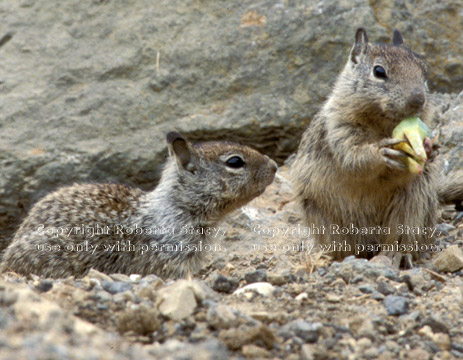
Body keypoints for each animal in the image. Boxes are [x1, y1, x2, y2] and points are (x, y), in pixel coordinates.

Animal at [292, 28, 462, 264]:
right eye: (379, 71)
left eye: (424, 72)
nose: (418, 100)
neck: (383, 125)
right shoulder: (340, 130)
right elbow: (354, 157)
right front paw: (382, 153)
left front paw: (430, 149)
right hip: (329, 222)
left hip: (413, 208)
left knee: (400, 237)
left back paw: (399, 255)